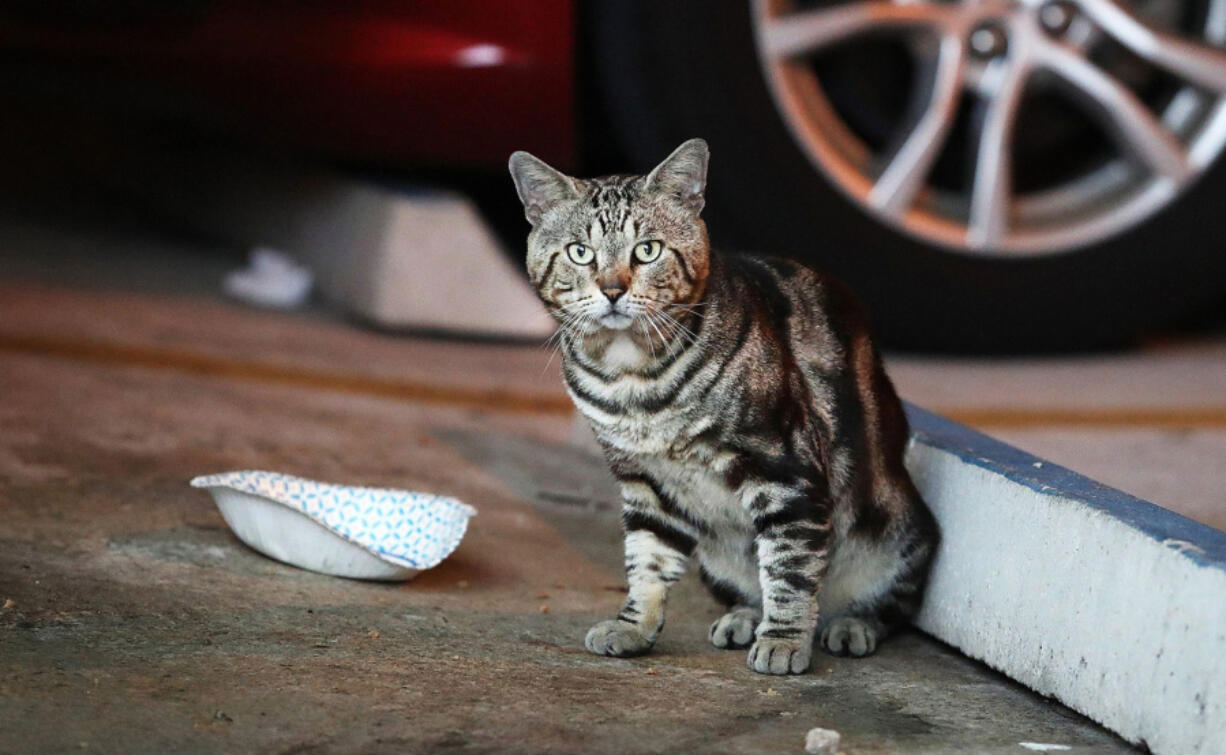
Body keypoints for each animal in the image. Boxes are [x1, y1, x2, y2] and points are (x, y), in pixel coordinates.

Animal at [507, 138, 936, 676]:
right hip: (716, 560)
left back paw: (848, 624)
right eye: (580, 253)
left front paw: (784, 641)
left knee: (886, 603)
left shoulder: (785, 470)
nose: (612, 290)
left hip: (899, 532)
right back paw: (744, 616)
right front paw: (634, 627)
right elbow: (646, 560)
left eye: (647, 250)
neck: (630, 380)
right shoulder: (645, 483)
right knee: (750, 585)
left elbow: (791, 568)